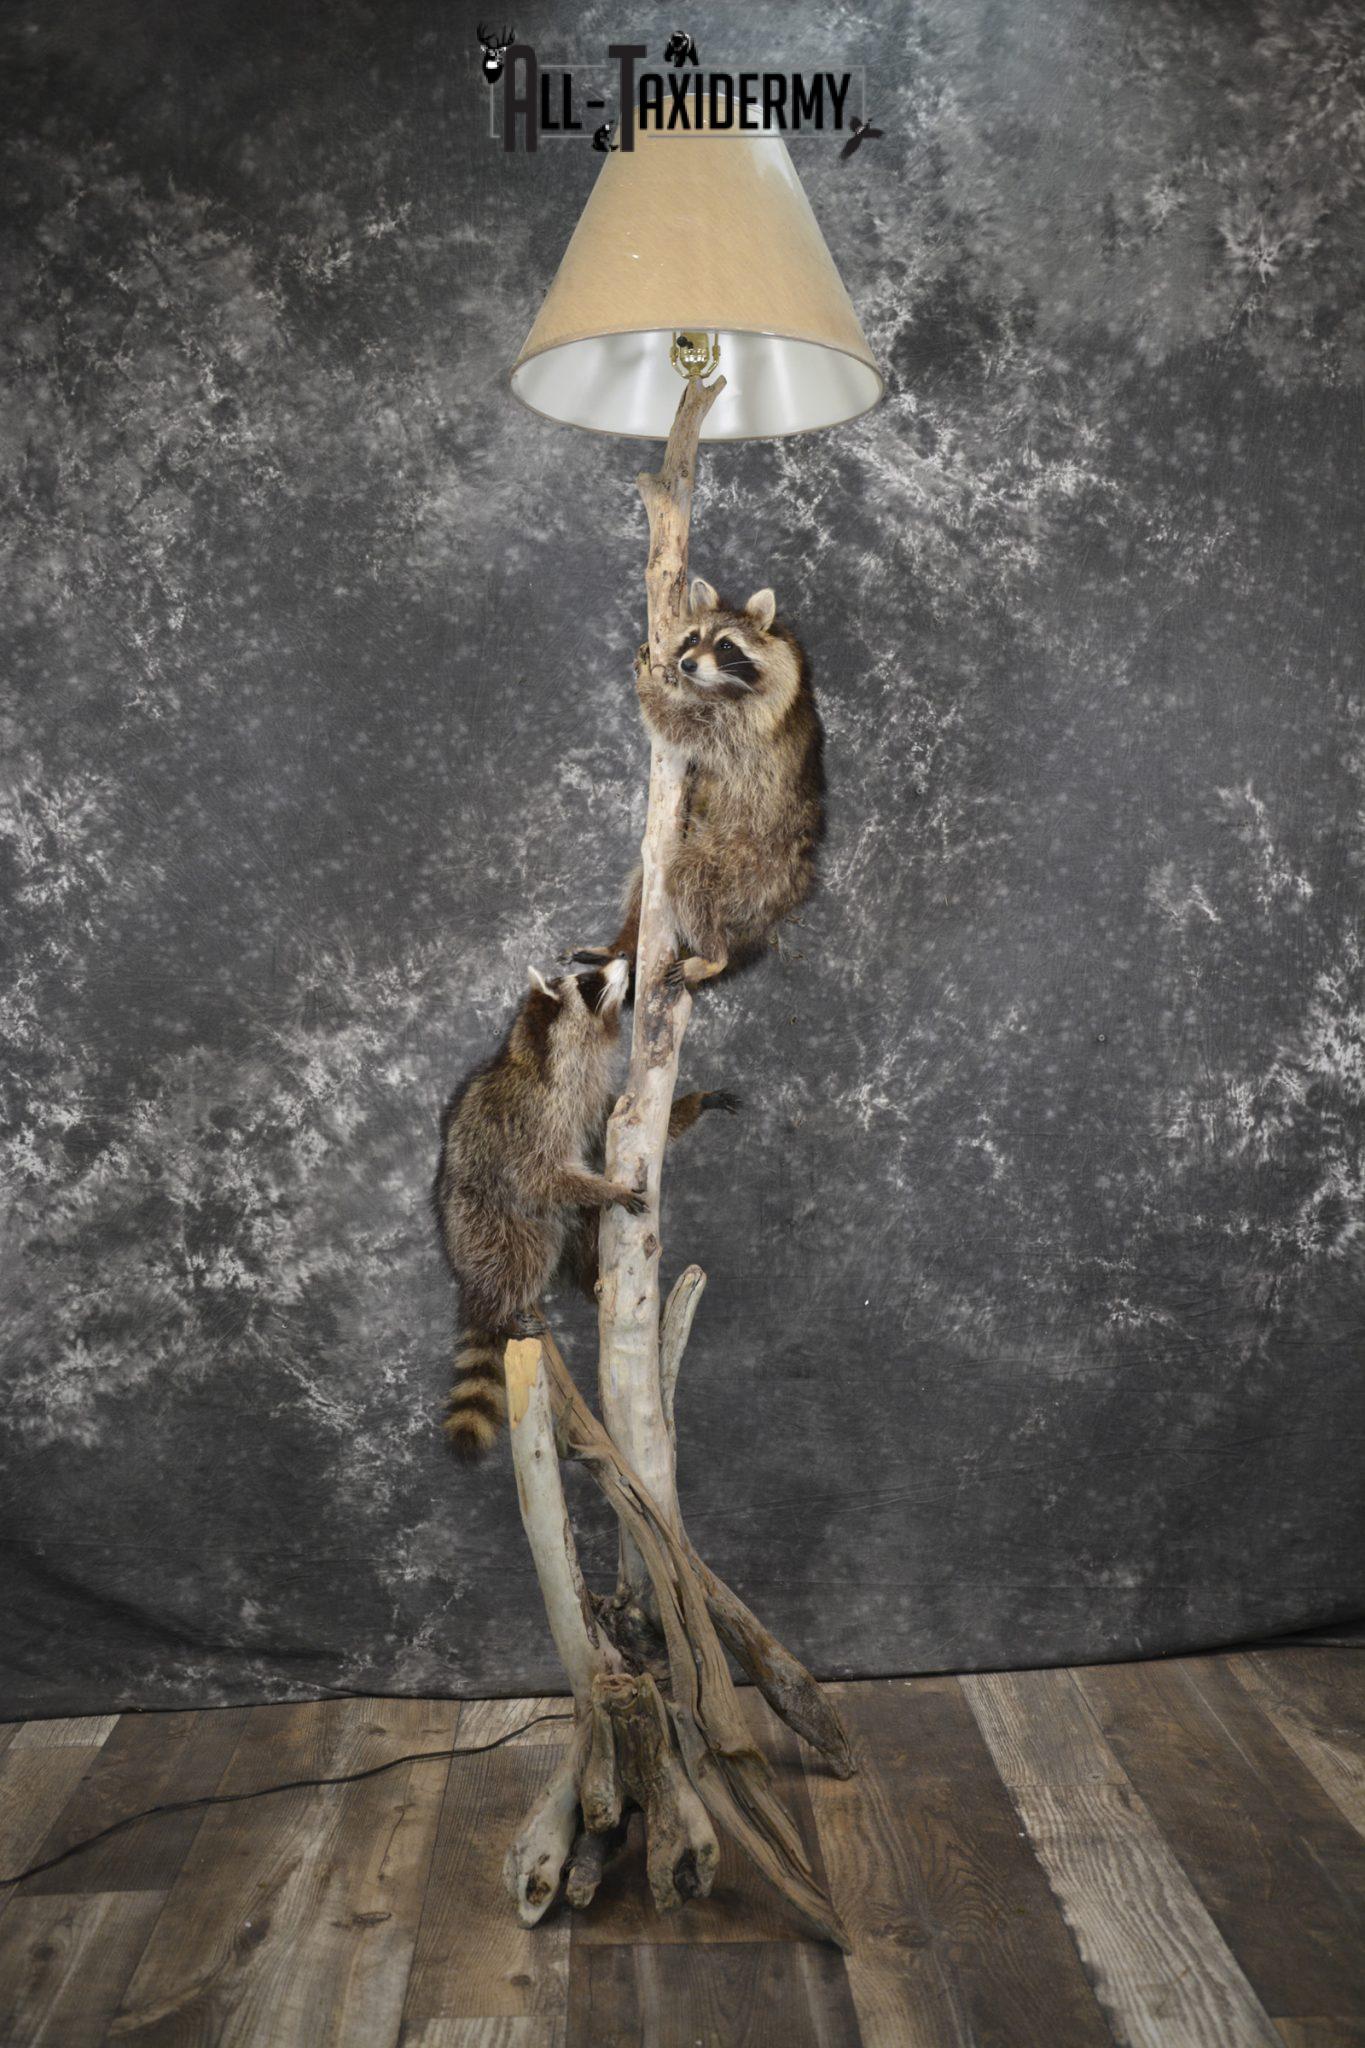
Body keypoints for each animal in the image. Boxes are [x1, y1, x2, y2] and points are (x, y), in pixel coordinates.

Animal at [434, 958, 738, 1460]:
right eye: (587, 982)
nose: (625, 962)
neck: (562, 1054)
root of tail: (463, 1266)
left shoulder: (593, 1103)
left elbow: (606, 1131)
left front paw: (695, 1104)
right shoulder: (534, 1115)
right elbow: (541, 1177)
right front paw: (606, 1189)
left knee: (581, 1235)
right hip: (484, 1224)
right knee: (527, 1252)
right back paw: (499, 1311)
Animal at [576, 580, 824, 992]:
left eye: (725, 645)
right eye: (693, 638)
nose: (687, 664)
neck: (722, 688)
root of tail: (790, 889)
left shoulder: (745, 724)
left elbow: (678, 723)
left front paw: (649, 683)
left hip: (744, 856)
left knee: (687, 878)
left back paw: (712, 955)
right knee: (646, 883)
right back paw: (623, 945)